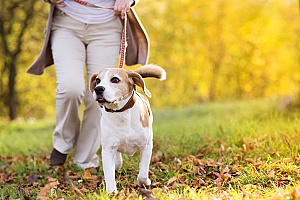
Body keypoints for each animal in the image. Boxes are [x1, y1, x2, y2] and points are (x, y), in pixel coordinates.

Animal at [88, 64, 168, 194]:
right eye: (97, 80)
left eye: (115, 79)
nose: (98, 89)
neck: (121, 113)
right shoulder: (107, 150)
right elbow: (109, 173)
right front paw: (111, 192)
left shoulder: (146, 146)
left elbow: (142, 173)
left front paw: (145, 183)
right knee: (117, 160)